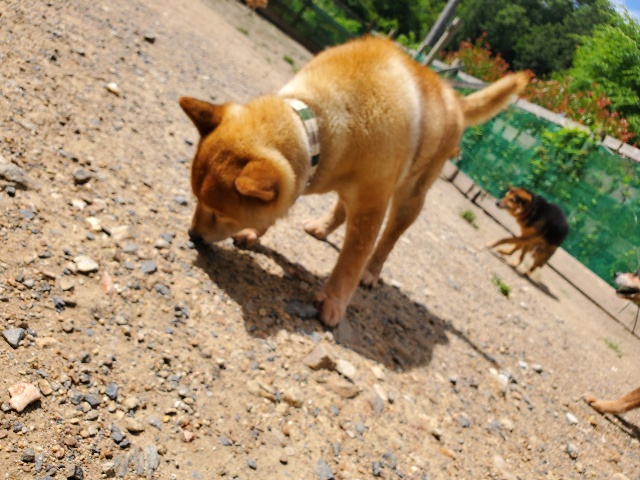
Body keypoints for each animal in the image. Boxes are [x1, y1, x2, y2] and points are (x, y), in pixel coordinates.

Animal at [180, 36, 528, 326]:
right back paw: (322, 227)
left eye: (220, 213)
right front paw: (255, 231)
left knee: (387, 240)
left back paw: (371, 272)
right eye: (196, 200)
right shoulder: (316, 174)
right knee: (342, 207)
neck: (319, 119)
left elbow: (351, 258)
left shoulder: (372, 206)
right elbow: (287, 202)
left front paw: (333, 301)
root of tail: (455, 99)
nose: (193, 235)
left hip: (409, 198)